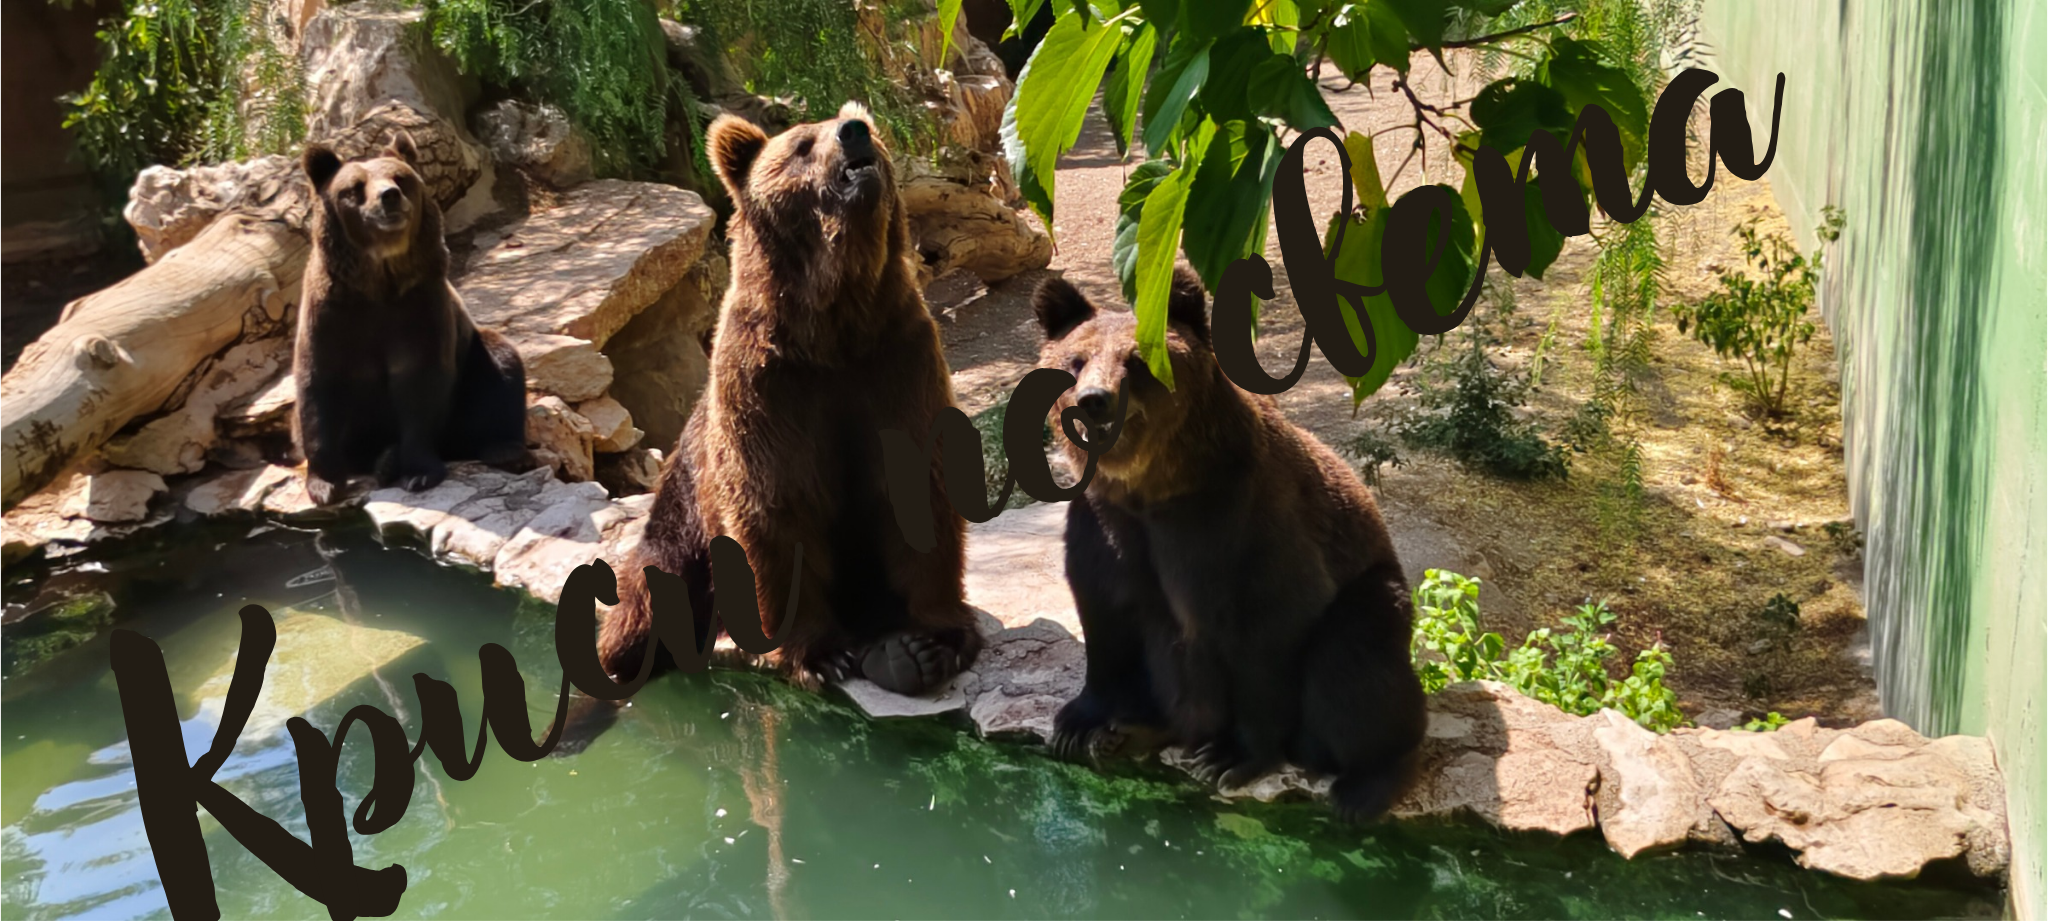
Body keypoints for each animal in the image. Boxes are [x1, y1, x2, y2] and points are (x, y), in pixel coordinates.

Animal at [294, 131, 528, 506]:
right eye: (354, 188)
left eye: (400, 178)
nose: (389, 196)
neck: (378, 282)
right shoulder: (331, 315)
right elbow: (318, 388)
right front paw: (324, 484)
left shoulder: (418, 307)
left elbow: (421, 383)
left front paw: (419, 472)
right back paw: (383, 459)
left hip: (472, 364)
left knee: (501, 366)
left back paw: (501, 448)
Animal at [595, 102, 982, 697]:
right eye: (802, 145)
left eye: (865, 128)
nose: (854, 132)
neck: (834, 325)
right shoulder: (766, 385)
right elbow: (776, 505)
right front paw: (820, 655)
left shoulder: (897, 361)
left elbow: (916, 489)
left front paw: (931, 641)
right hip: (678, 529)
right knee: (644, 607)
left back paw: (894, 656)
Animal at [1035, 268, 1426, 822]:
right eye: (1075, 360)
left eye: (1137, 359)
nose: (1094, 399)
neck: (1152, 485)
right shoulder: (1105, 522)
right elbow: (1106, 613)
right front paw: (1077, 721)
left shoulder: (1236, 521)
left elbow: (1268, 633)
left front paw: (1233, 756)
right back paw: (1131, 730)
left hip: (1370, 593)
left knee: (1354, 665)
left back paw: (1368, 783)